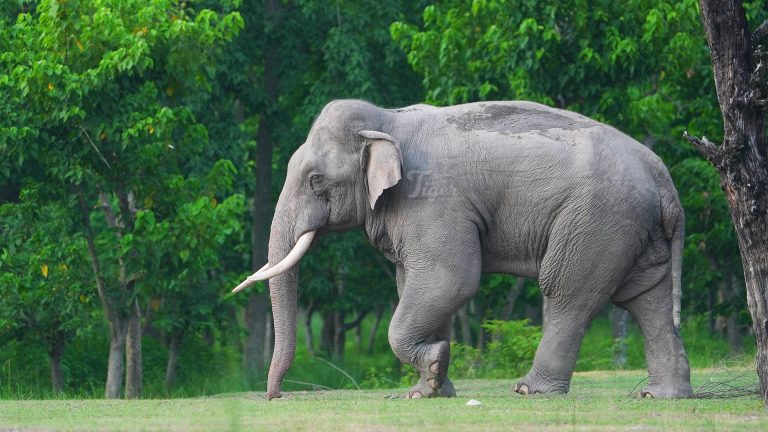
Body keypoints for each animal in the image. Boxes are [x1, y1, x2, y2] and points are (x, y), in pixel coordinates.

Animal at [233, 99, 693, 400]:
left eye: (316, 180)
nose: (275, 397)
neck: (387, 119)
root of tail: (662, 174)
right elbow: (416, 284)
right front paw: (429, 389)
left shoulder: (431, 201)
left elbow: (451, 279)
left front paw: (434, 365)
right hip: (635, 228)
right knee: (646, 298)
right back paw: (661, 396)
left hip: (597, 220)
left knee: (568, 292)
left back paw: (530, 390)